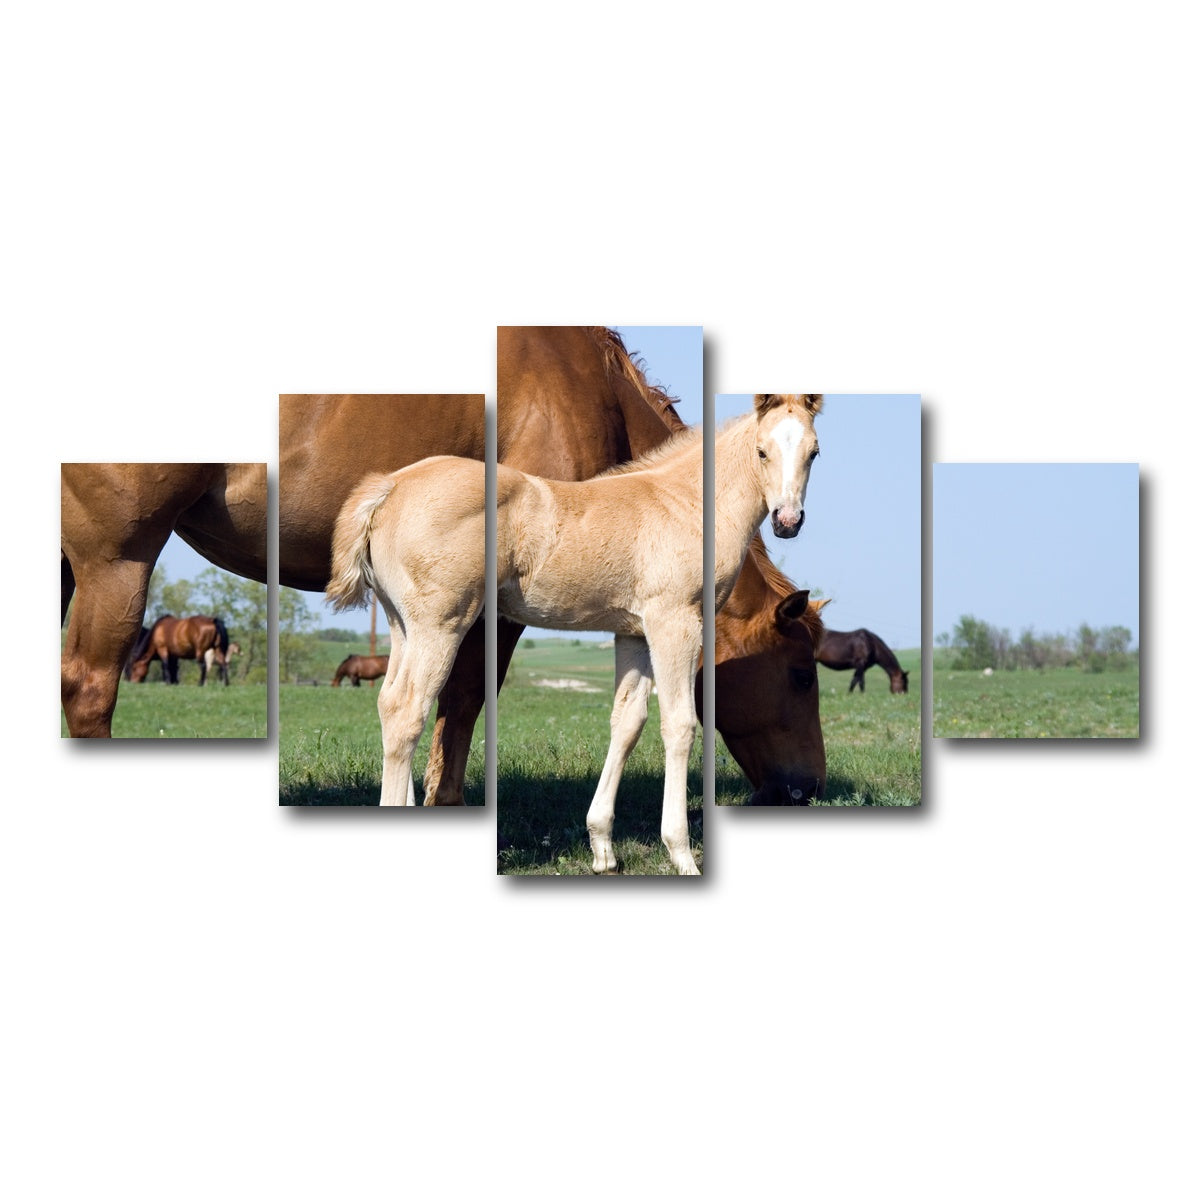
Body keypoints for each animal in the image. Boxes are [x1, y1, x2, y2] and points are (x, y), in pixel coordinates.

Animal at [326, 393, 822, 874]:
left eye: (814, 452)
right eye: (761, 451)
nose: (788, 520)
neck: (684, 504)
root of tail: (390, 487)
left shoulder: (633, 633)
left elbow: (628, 722)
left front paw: (602, 849)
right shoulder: (674, 622)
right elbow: (680, 724)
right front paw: (681, 854)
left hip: (401, 624)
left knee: (389, 704)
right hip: (441, 624)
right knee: (407, 710)